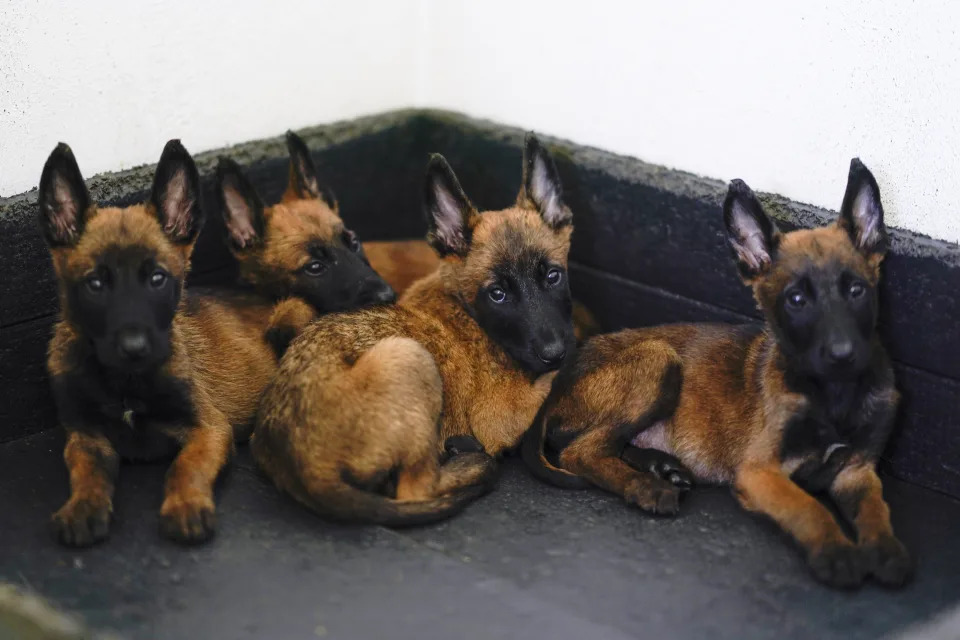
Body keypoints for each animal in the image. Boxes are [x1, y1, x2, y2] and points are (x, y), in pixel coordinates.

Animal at [39, 140, 290, 544]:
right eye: (96, 283)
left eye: (157, 278)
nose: (134, 349)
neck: (125, 383)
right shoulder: (85, 436)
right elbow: (86, 473)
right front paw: (83, 507)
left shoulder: (209, 428)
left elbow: (184, 467)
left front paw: (185, 504)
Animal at [251, 134, 572, 524]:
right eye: (497, 294)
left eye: (553, 276)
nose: (554, 352)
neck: (469, 311)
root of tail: (303, 468)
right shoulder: (501, 415)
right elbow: (556, 377)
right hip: (410, 355)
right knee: (414, 489)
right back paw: (470, 461)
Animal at [520, 160, 912, 592]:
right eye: (796, 300)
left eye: (857, 290)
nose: (843, 355)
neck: (833, 397)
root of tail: (562, 374)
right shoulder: (759, 471)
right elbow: (809, 506)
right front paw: (836, 551)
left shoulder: (857, 472)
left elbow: (876, 511)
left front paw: (886, 550)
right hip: (659, 359)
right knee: (581, 451)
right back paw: (647, 486)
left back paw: (660, 465)